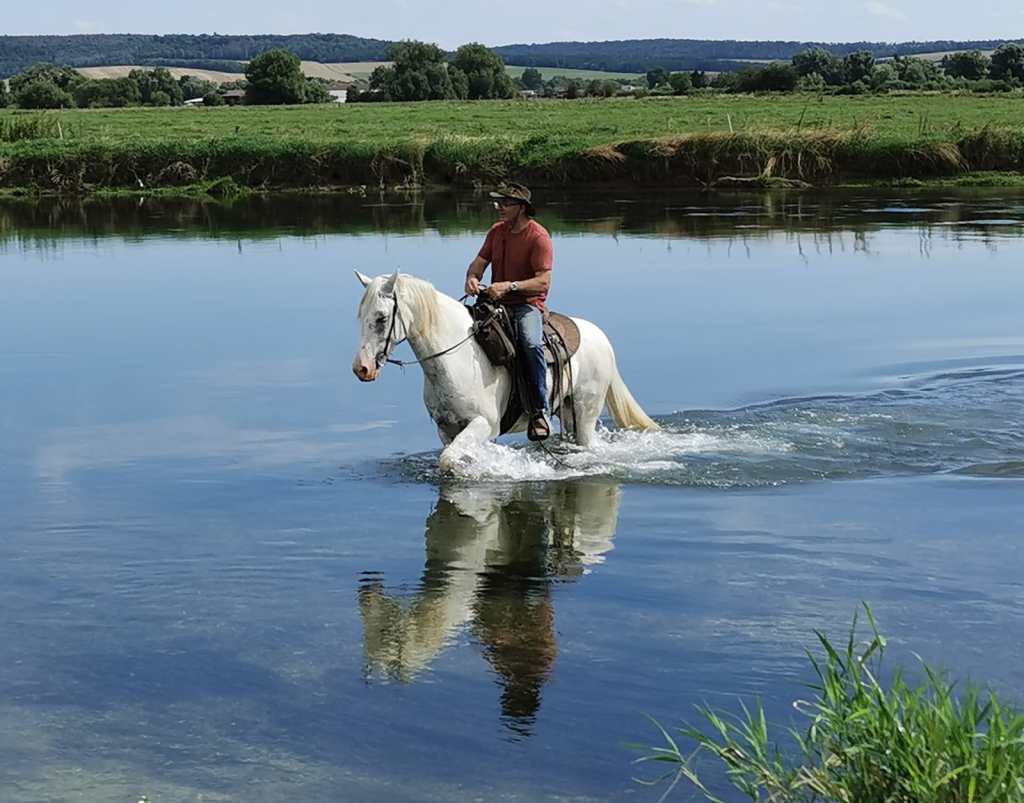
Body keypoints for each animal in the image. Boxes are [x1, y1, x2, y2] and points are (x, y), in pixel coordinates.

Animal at [352, 271, 658, 473]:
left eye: (381, 318)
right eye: (360, 316)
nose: (361, 368)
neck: (456, 360)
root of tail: (601, 338)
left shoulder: (484, 424)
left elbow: (448, 459)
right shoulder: (446, 429)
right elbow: (453, 454)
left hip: (586, 412)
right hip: (568, 412)